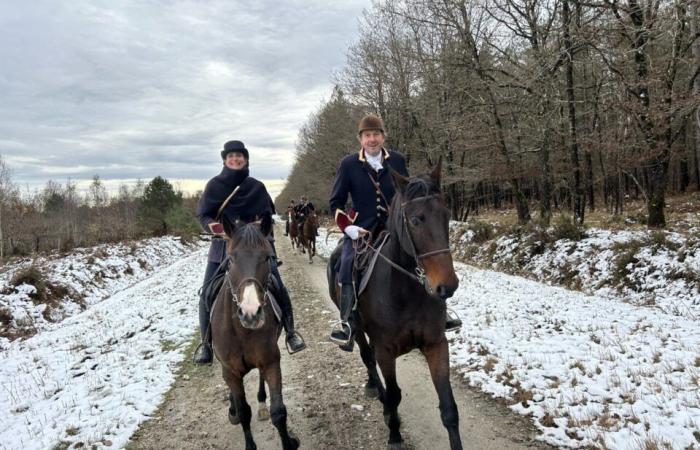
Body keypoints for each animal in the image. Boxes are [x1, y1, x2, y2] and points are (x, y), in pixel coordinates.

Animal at [211, 216, 298, 448]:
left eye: (268, 258)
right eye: (230, 260)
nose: (250, 313)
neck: (242, 332)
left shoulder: (270, 362)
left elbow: (279, 411)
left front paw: (289, 442)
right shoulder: (231, 372)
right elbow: (243, 412)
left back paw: (261, 404)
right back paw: (232, 409)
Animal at [328, 158, 464, 450]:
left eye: (446, 215)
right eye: (415, 219)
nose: (447, 286)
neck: (406, 291)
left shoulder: (436, 344)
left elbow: (448, 407)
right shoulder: (385, 351)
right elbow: (394, 394)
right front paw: (394, 435)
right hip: (357, 328)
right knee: (367, 357)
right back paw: (375, 392)